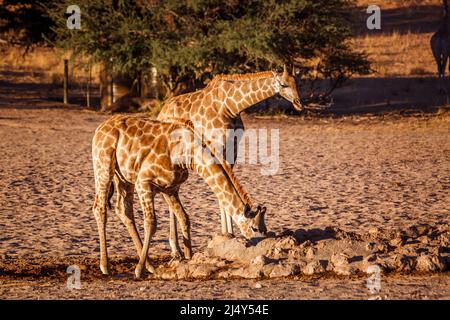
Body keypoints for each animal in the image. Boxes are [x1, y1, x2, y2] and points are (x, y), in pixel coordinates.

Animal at [92, 114, 268, 278]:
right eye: (254, 228)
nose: (261, 248)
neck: (188, 154)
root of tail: (100, 128)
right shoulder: (144, 181)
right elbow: (151, 223)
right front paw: (138, 270)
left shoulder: (170, 189)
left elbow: (184, 218)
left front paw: (189, 258)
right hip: (104, 168)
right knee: (99, 208)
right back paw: (105, 267)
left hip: (124, 178)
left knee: (124, 210)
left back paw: (150, 266)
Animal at [158, 65, 302, 255]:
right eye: (284, 84)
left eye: (296, 83)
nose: (299, 103)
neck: (231, 106)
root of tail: (161, 112)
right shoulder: (216, 148)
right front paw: (227, 235)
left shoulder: (232, 150)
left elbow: (226, 189)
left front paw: (228, 234)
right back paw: (175, 249)